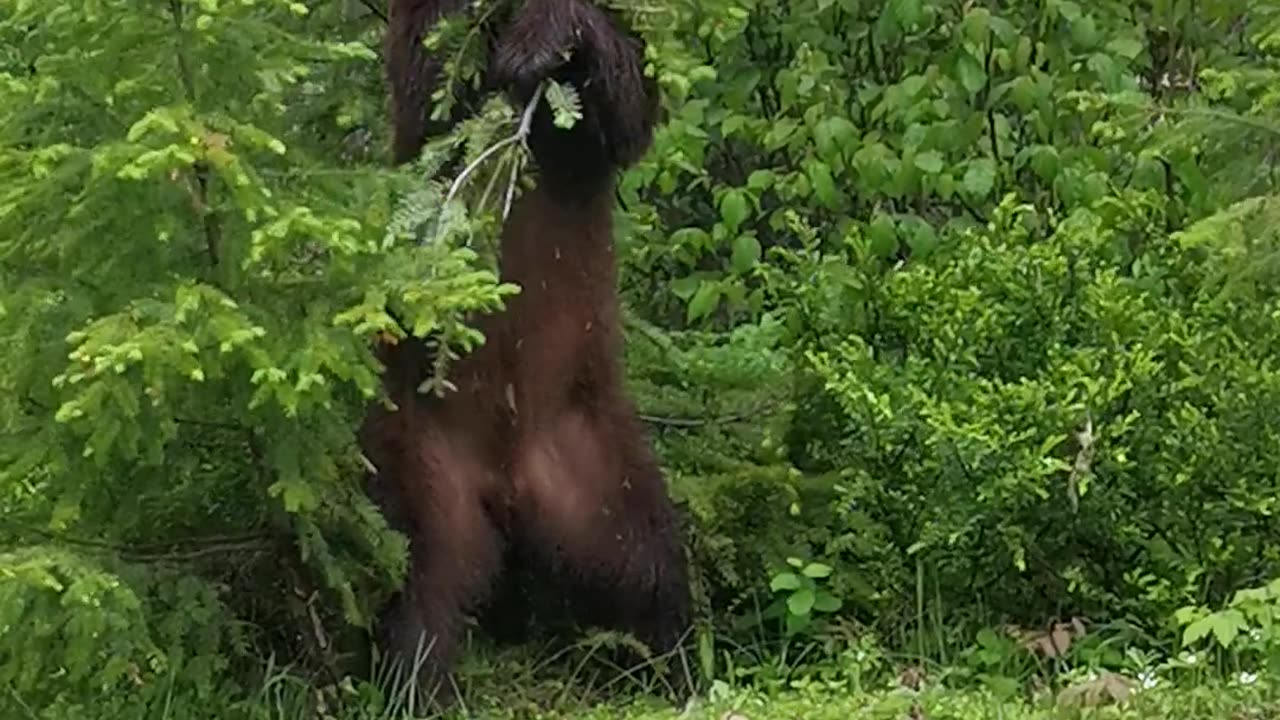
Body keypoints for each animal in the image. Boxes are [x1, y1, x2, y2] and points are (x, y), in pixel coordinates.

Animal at [355, 0, 696, 702]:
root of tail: (511, 483)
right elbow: (432, 77)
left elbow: (626, 105)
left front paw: (545, 40)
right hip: (419, 455)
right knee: (415, 575)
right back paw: (413, 680)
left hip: (595, 463)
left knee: (648, 560)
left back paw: (671, 661)